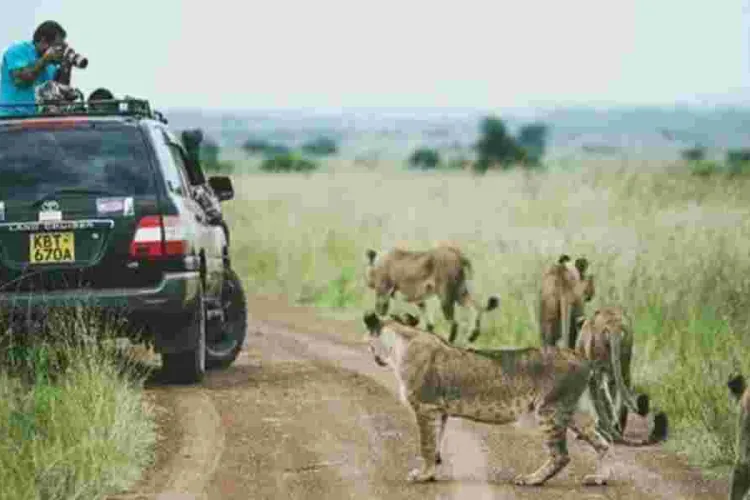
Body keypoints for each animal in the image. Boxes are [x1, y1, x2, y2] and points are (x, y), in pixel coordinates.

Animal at [362, 310, 615, 487]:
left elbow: (426, 444)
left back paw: (531, 480)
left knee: (561, 455)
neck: (399, 344)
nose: (375, 358)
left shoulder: (426, 406)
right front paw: (432, 472)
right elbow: (436, 443)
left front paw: (422, 476)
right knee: (603, 443)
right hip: (574, 411)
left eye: (369, 344)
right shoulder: (439, 411)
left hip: (549, 409)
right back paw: (599, 478)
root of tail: (583, 358)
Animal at [364, 244, 499, 344]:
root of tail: (458, 254)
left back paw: (450, 340)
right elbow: (423, 313)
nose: (368, 283)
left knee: (455, 322)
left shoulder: (383, 292)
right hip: (459, 292)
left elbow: (381, 311)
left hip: (446, 295)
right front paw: (420, 324)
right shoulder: (415, 296)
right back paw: (472, 335)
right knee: (475, 307)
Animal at [575, 307, 668, 445]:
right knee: (620, 393)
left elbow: (599, 401)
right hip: (623, 362)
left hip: (601, 367)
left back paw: (609, 430)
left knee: (602, 395)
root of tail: (614, 325)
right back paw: (616, 428)